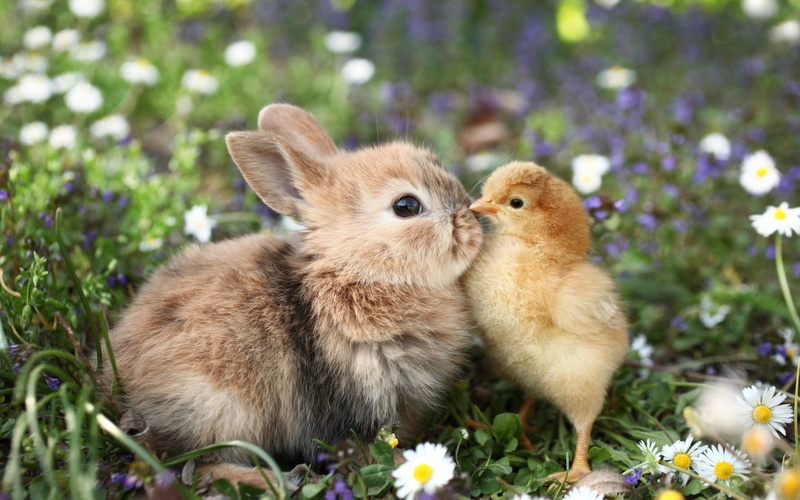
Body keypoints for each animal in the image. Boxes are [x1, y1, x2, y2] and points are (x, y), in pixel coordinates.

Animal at [104, 104, 484, 471]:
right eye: (406, 206)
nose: (473, 221)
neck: (356, 271)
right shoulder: (347, 401)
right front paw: (405, 464)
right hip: (219, 407)